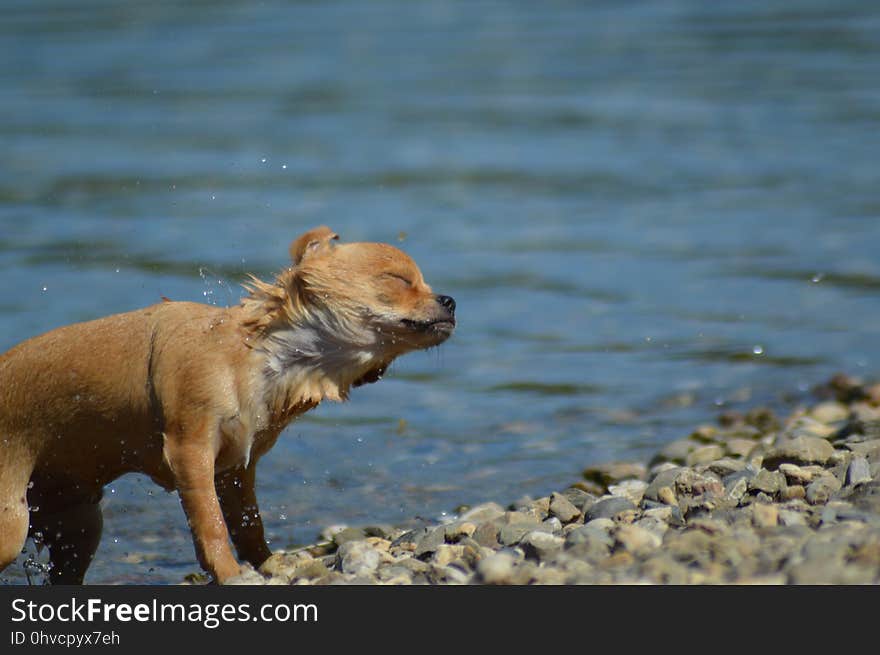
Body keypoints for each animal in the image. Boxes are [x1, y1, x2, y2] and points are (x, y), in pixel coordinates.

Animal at [0, 228, 454, 588]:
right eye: (398, 279)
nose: (450, 300)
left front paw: (269, 563)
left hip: (78, 526)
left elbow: (248, 525)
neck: (264, 358)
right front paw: (229, 571)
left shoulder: (236, 469)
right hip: (12, 523)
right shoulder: (190, 452)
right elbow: (212, 525)